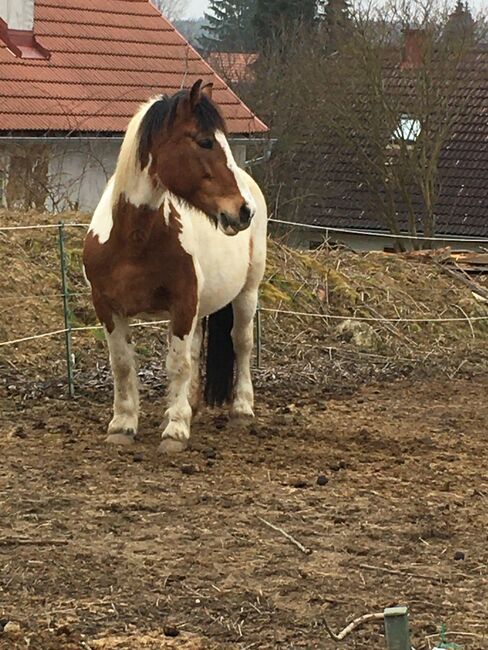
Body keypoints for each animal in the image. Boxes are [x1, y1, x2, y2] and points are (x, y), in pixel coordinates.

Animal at [83, 79, 266, 450]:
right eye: (205, 140)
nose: (243, 211)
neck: (132, 240)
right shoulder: (108, 308)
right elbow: (122, 364)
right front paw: (123, 425)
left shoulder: (182, 304)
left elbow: (177, 364)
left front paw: (176, 430)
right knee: (196, 350)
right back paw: (189, 407)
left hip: (247, 293)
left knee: (241, 343)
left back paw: (241, 409)